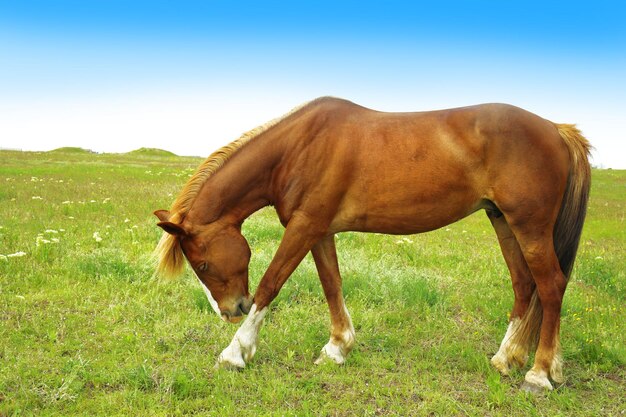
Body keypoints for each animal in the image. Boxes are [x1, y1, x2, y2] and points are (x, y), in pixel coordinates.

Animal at [154, 96, 588, 392]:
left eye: (202, 264)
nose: (231, 311)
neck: (298, 147)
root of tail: (556, 128)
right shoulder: (319, 231)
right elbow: (332, 285)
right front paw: (337, 348)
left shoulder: (304, 228)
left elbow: (270, 283)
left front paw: (235, 352)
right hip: (504, 223)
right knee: (524, 285)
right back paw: (505, 358)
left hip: (530, 227)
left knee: (551, 286)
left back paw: (539, 374)